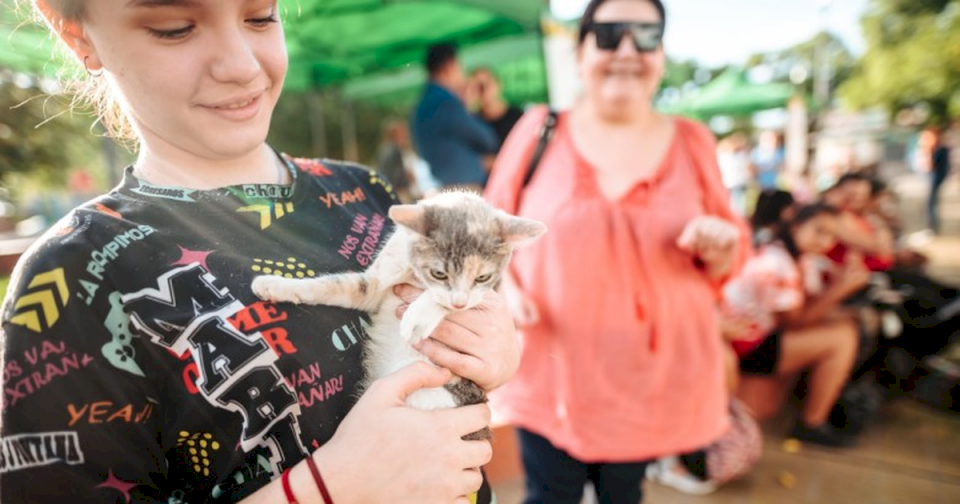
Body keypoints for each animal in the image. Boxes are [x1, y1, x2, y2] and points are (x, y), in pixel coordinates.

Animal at [251, 191, 544, 440]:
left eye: (482, 277)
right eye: (439, 273)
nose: (459, 303)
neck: (413, 274)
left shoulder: (488, 295)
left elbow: (447, 300)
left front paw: (419, 314)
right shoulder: (374, 284)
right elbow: (333, 285)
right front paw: (275, 285)